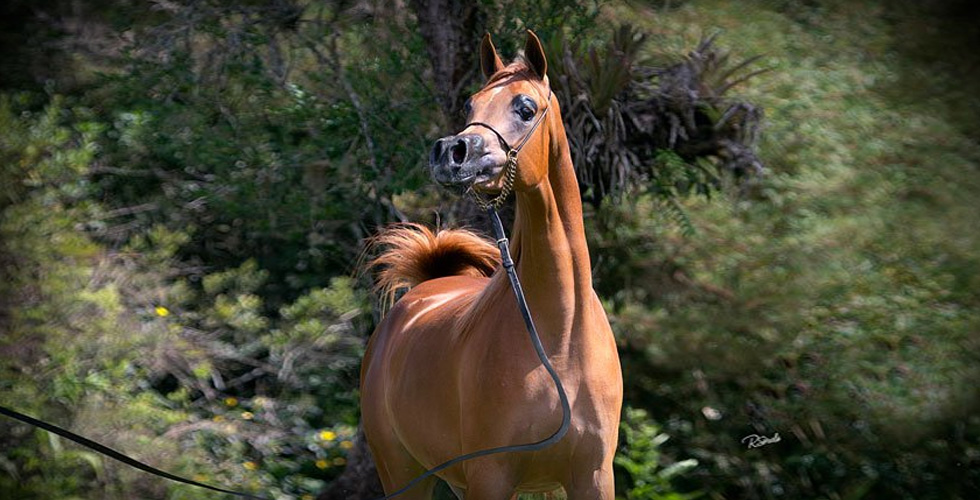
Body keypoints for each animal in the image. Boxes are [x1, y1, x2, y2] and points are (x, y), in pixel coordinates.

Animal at [364, 32, 624, 500]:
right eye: (471, 106)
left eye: (526, 108)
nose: (450, 152)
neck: (560, 342)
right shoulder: (492, 475)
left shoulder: (593, 476)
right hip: (404, 476)